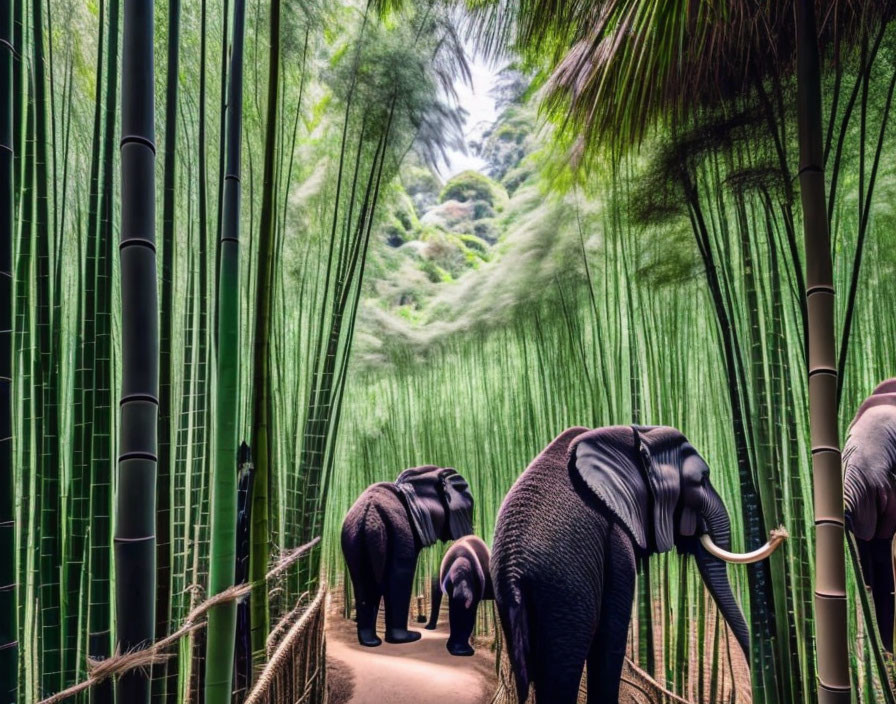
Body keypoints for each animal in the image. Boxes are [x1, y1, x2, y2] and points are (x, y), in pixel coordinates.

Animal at [340, 464, 476, 648]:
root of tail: (370, 515)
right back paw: (406, 638)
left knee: (363, 582)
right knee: (399, 576)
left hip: (352, 537)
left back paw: (371, 642)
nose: (428, 627)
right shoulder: (405, 529)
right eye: (467, 510)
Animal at [490, 426, 784, 700]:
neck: (636, 435)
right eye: (701, 480)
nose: (778, 533)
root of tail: (514, 572)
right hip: (563, 592)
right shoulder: (614, 535)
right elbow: (610, 636)